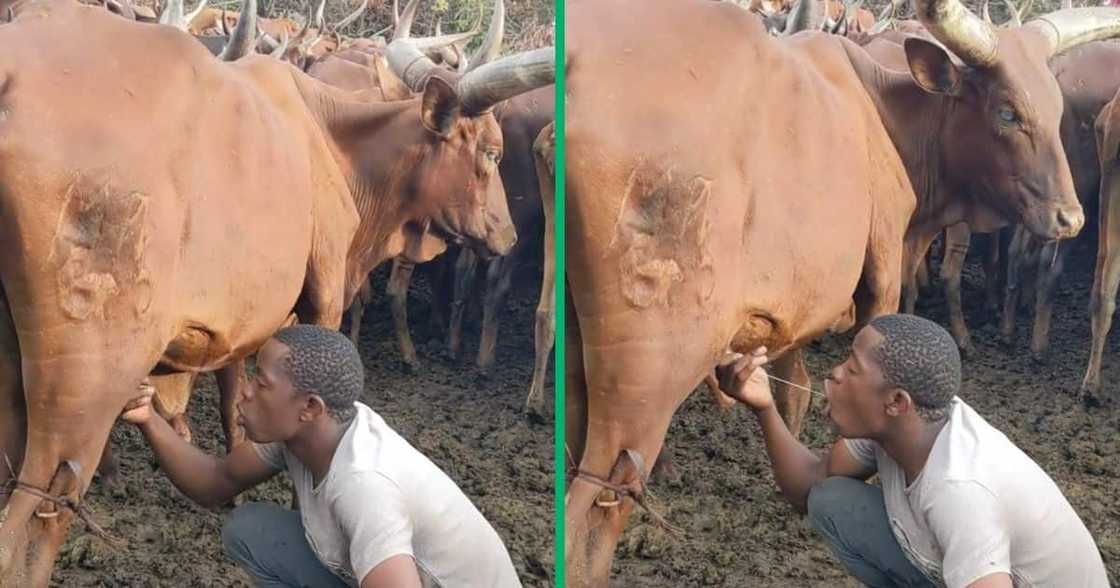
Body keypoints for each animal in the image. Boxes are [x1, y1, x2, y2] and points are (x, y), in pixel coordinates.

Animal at [0, 0, 546, 582]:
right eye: (491, 152)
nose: (509, 236)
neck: (330, 138)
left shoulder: (244, 323)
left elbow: (233, 399)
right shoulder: (324, 296)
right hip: (86, 379)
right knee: (37, 516)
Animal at [568, 0, 1120, 582]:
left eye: (1055, 107)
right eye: (1007, 112)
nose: (1069, 218)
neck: (880, 111)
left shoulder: (793, 306)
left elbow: (793, 390)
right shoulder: (883, 275)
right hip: (646, 378)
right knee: (597, 505)